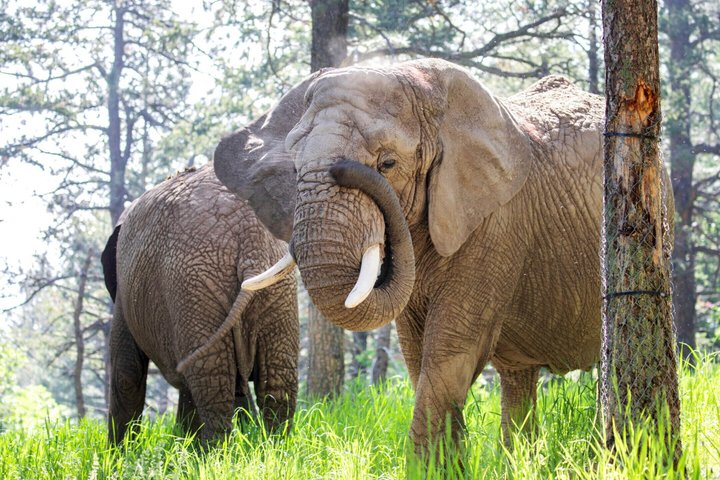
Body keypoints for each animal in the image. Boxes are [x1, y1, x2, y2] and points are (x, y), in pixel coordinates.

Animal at [101, 161, 303, 441]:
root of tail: (249, 237)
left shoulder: (124, 293)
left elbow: (126, 372)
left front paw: (120, 454)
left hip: (193, 287)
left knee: (212, 381)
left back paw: (214, 451)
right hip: (274, 290)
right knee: (276, 382)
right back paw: (272, 448)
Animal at [212, 58, 670, 451]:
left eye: (388, 163)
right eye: (293, 170)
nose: (345, 168)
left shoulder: (497, 222)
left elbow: (450, 350)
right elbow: (417, 356)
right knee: (517, 377)